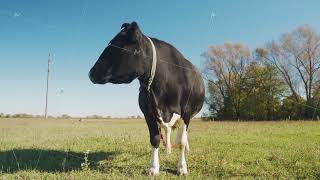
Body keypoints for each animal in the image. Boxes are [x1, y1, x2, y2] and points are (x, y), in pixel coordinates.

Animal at [88, 21, 205, 176]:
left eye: (116, 44)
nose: (91, 73)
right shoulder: (148, 111)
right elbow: (155, 138)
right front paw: (154, 168)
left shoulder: (186, 112)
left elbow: (181, 141)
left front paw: (182, 167)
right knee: (167, 131)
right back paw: (167, 150)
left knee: (182, 135)